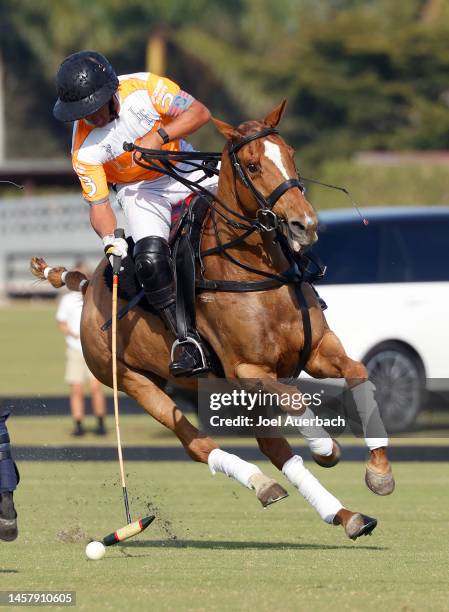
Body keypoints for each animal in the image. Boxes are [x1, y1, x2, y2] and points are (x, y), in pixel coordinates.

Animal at [31, 101, 390, 540]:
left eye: (290, 154)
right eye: (252, 165)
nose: (305, 225)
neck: (257, 271)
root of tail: (87, 289)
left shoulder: (317, 351)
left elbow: (358, 372)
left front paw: (379, 473)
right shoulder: (246, 368)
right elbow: (295, 399)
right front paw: (325, 447)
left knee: (273, 447)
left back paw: (343, 514)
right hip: (133, 381)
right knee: (197, 444)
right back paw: (264, 483)